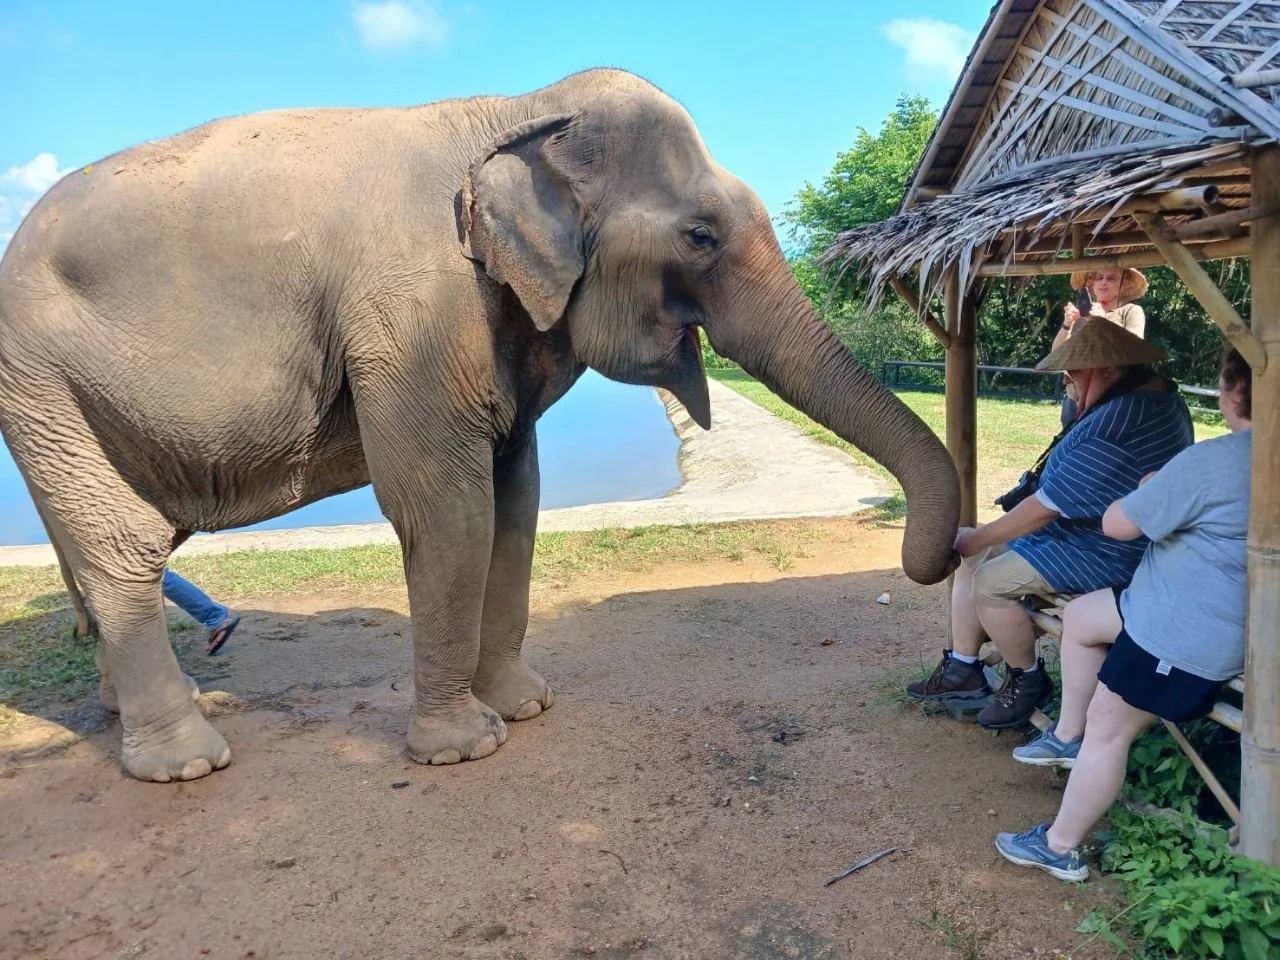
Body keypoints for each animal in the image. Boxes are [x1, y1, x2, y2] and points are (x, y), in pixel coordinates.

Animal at [0, 69, 960, 783]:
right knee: (122, 545)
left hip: (54, 400)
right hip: (38, 375)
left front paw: (527, 706)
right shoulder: (414, 315)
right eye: (699, 235)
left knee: (91, 543)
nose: (943, 556)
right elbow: (447, 509)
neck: (518, 111)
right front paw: (464, 748)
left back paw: (130, 716)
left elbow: (517, 501)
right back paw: (189, 761)